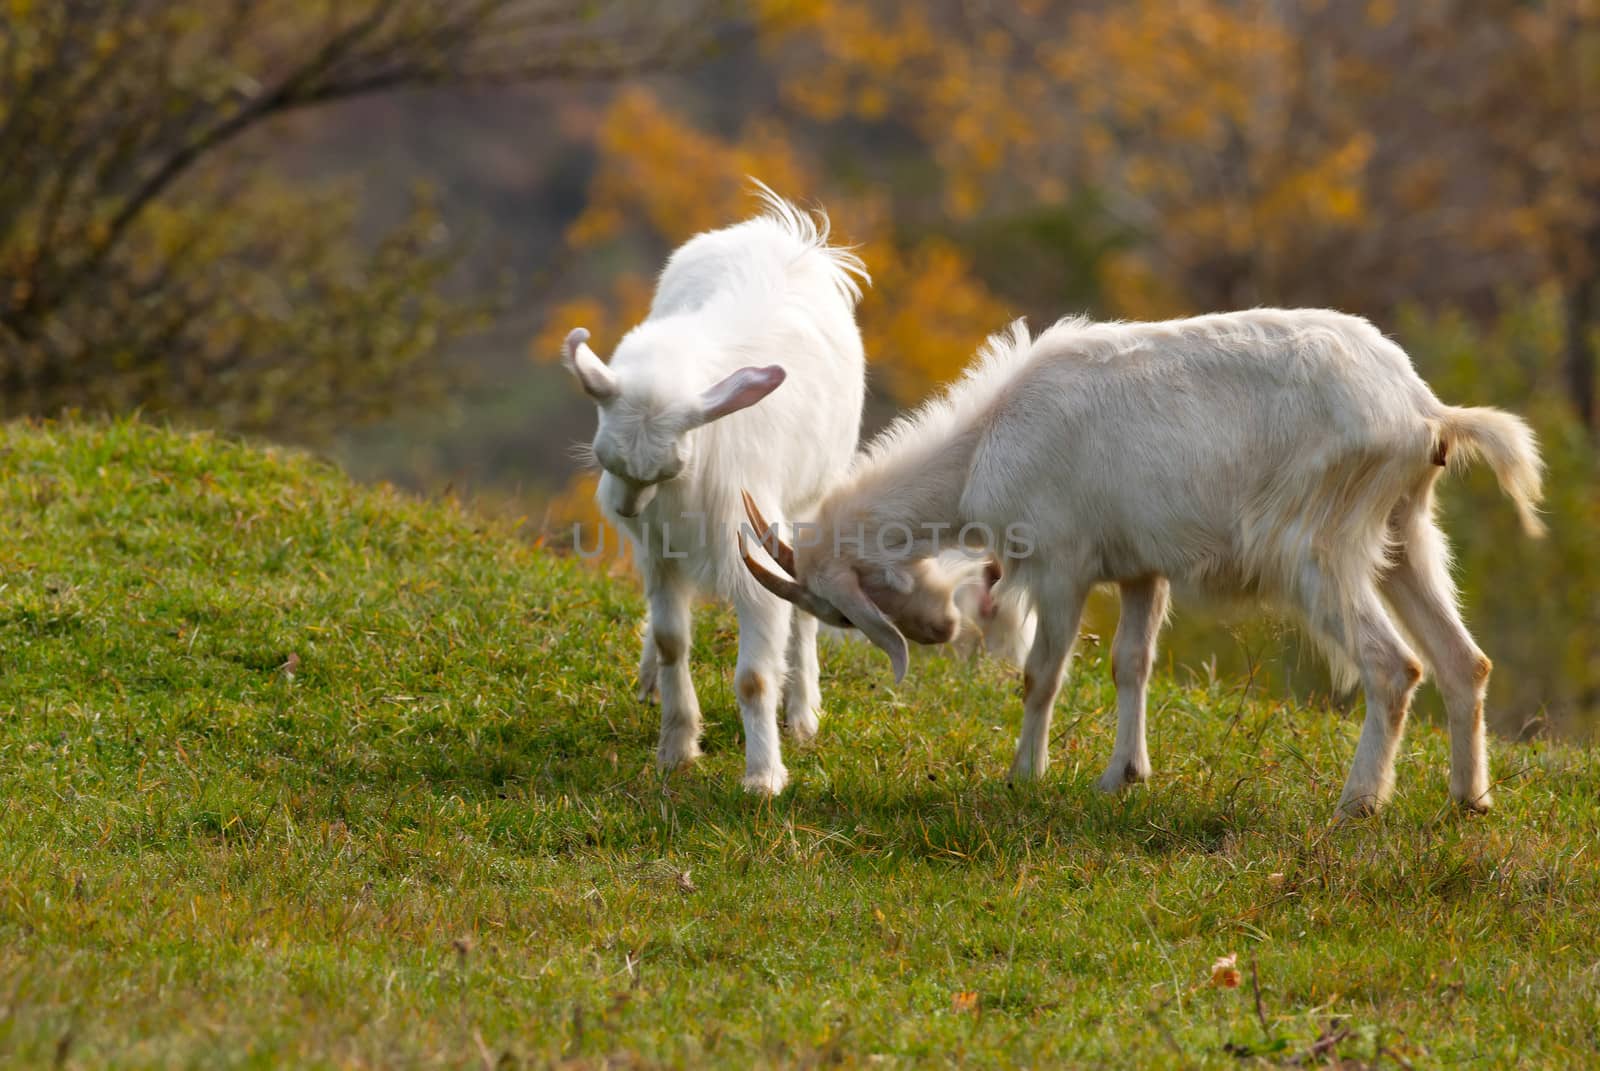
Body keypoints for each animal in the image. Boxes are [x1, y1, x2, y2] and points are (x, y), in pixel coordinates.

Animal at [563, 181, 864, 794]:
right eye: (609, 461)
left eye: (668, 469)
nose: (625, 510)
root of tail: (789, 233)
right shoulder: (658, 553)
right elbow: (672, 641)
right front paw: (677, 748)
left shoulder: (751, 551)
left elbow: (754, 677)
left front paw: (764, 777)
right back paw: (647, 678)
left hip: (810, 501)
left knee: (805, 606)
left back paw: (803, 713)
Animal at [742, 313, 1542, 813]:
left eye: (843, 611)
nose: (940, 633)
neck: (984, 442)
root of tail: (1424, 413)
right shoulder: (1139, 569)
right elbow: (1132, 665)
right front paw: (1122, 776)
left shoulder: (1060, 564)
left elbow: (1042, 674)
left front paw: (1024, 775)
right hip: (1406, 530)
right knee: (1464, 660)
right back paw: (1470, 799)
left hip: (1318, 543)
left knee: (1392, 665)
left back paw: (1359, 803)